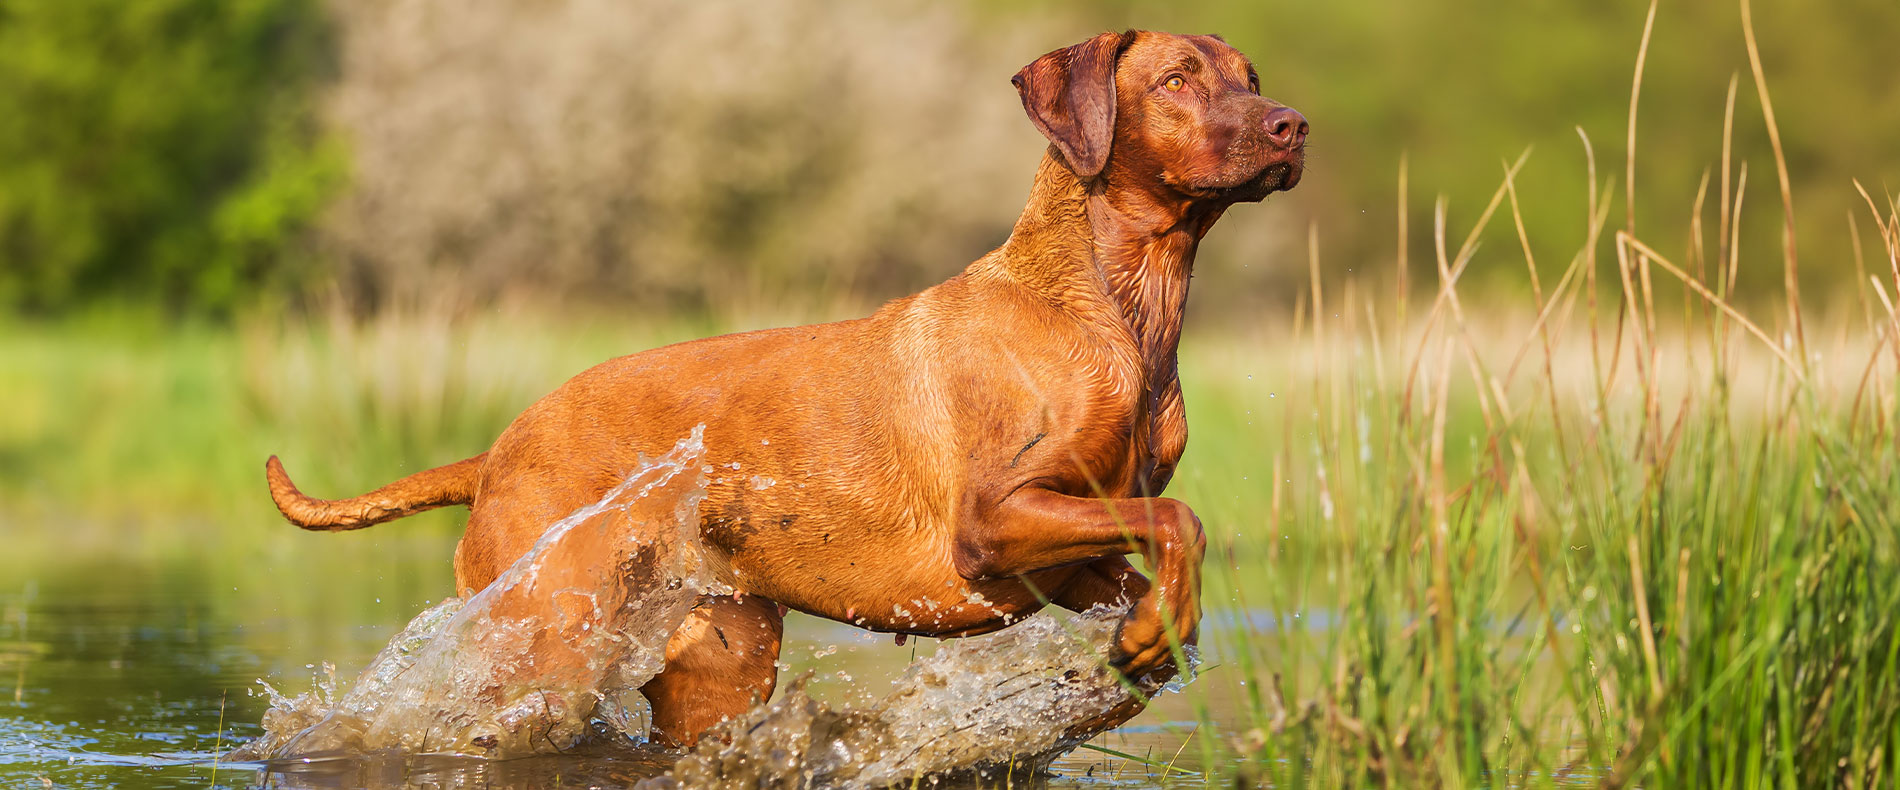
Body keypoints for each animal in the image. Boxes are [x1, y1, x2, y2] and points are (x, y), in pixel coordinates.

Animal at [264, 29, 1307, 748]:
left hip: (721, 661)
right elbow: (1185, 523)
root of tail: (497, 449)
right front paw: (1151, 635)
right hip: (546, 638)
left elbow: (1160, 560)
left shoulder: (1073, 554)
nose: (1293, 125)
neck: (1120, 306)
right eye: (1176, 79)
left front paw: (1148, 637)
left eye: (1253, 77)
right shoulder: (994, 519)